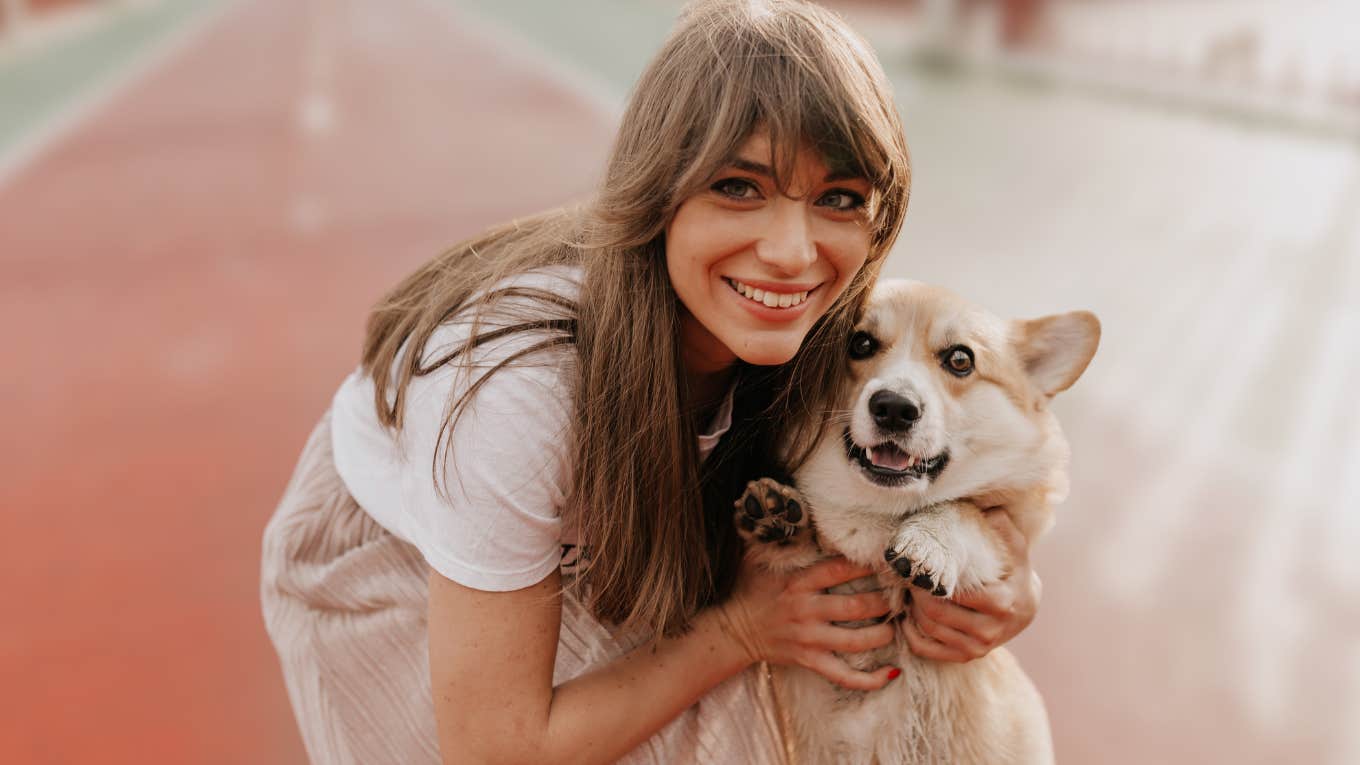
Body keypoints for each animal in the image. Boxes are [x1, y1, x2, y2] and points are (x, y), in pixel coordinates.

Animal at [739, 276, 1098, 756]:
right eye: (859, 343)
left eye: (960, 359)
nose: (894, 407)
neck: (880, 516)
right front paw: (780, 522)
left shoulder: (1003, 530)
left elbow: (962, 509)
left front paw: (929, 544)